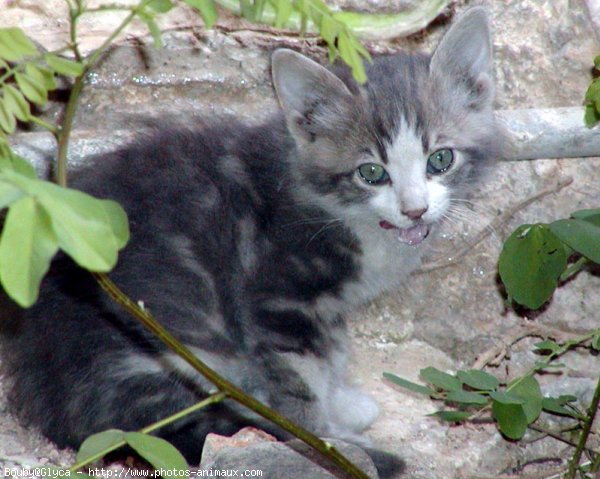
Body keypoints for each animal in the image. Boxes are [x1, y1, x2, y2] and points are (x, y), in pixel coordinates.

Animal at [0, 6, 496, 476]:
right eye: (371, 172)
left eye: (441, 159)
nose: (415, 210)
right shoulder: (279, 301)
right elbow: (300, 384)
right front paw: (327, 441)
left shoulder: (321, 310)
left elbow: (332, 352)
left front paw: (342, 402)